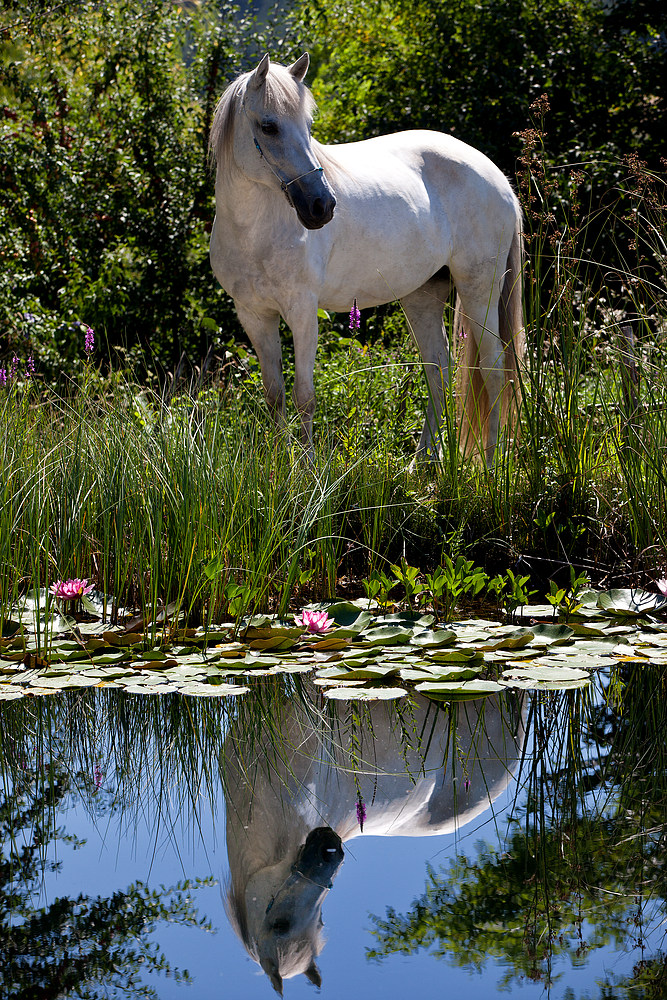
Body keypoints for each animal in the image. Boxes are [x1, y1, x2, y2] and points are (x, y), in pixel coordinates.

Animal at [210, 53, 528, 460]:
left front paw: (307, 469)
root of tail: (499, 179)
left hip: (480, 291)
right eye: (268, 127)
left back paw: (490, 466)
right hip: (422, 296)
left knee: (492, 372)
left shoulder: (302, 312)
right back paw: (422, 463)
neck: (255, 231)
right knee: (439, 370)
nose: (322, 206)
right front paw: (281, 463)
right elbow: (275, 395)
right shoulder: (254, 316)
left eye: (308, 126)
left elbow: (304, 397)